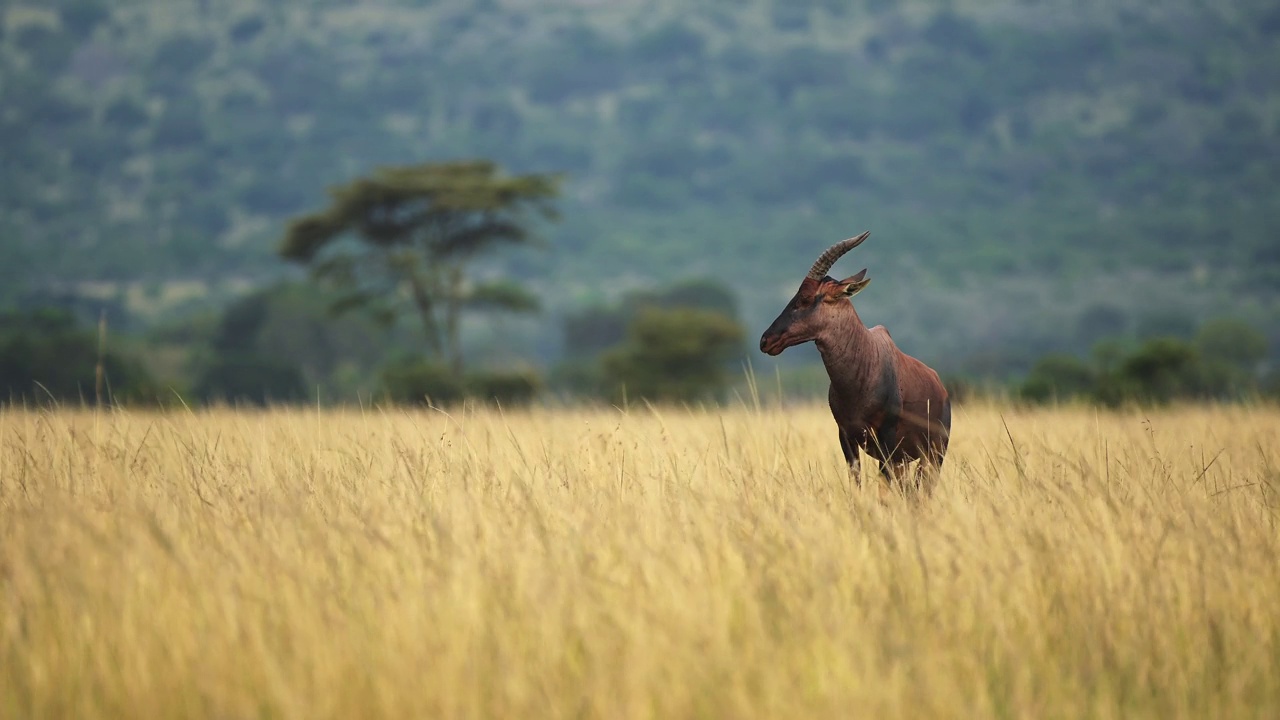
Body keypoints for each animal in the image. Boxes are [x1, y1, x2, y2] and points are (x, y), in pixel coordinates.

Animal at [757, 233, 952, 489]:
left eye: (806, 298)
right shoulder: (845, 435)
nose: (766, 340)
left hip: (933, 455)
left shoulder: (887, 438)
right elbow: (856, 479)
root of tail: (942, 389)